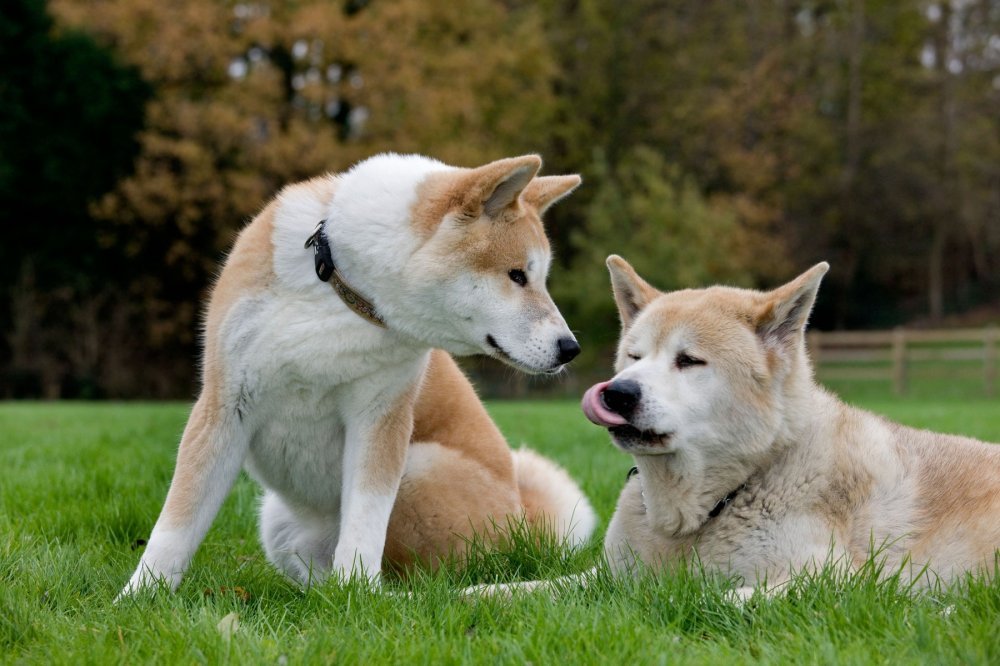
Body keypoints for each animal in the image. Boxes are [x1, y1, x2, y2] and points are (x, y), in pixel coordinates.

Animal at [122, 153, 596, 592]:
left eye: (539, 279)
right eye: (517, 276)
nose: (569, 347)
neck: (341, 287)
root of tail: (525, 525)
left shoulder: (380, 418)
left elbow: (365, 524)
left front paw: (356, 595)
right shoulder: (224, 404)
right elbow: (175, 527)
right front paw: (139, 597)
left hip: (417, 466)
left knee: (415, 581)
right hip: (278, 519)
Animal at [580, 256, 1000, 592]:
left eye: (688, 360)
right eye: (634, 357)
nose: (617, 393)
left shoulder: (834, 581)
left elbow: (710, 599)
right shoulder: (607, 573)